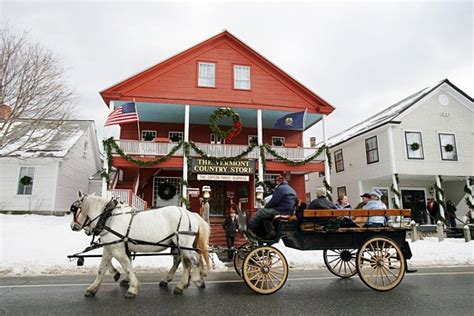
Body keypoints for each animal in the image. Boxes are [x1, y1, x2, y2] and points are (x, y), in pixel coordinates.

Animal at [70, 191, 209, 298]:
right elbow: (101, 269)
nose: (73, 226)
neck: (109, 217)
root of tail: (190, 214)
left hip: (184, 244)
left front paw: (132, 289)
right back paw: (182, 283)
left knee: (193, 260)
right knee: (184, 261)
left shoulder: (117, 249)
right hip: (178, 245)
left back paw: (193, 281)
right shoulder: (110, 247)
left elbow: (127, 266)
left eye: (74, 209)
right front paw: (92, 289)